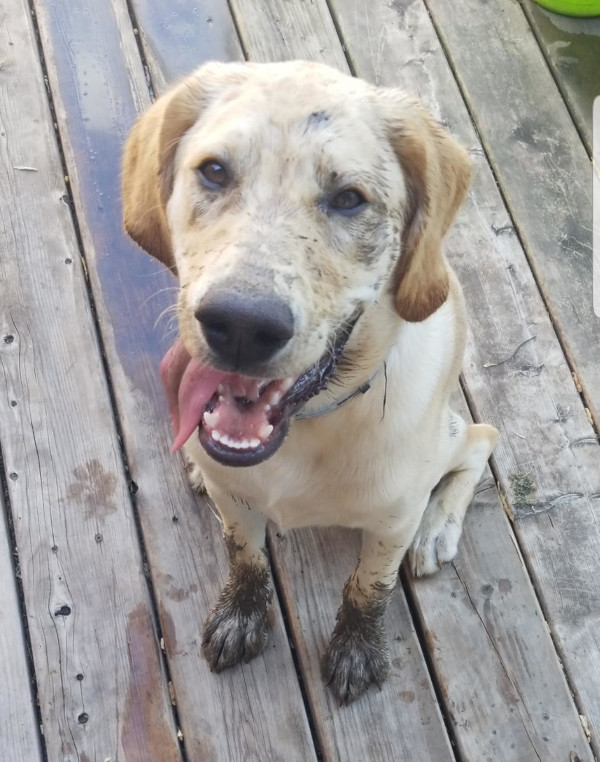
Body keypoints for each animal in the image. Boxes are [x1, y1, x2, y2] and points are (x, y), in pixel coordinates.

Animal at [120, 60, 496, 708]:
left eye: (349, 199)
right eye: (214, 171)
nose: (240, 326)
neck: (306, 431)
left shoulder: (391, 521)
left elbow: (368, 586)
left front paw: (357, 649)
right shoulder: (236, 499)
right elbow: (244, 555)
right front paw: (241, 615)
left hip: (447, 437)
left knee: (481, 437)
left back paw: (438, 530)